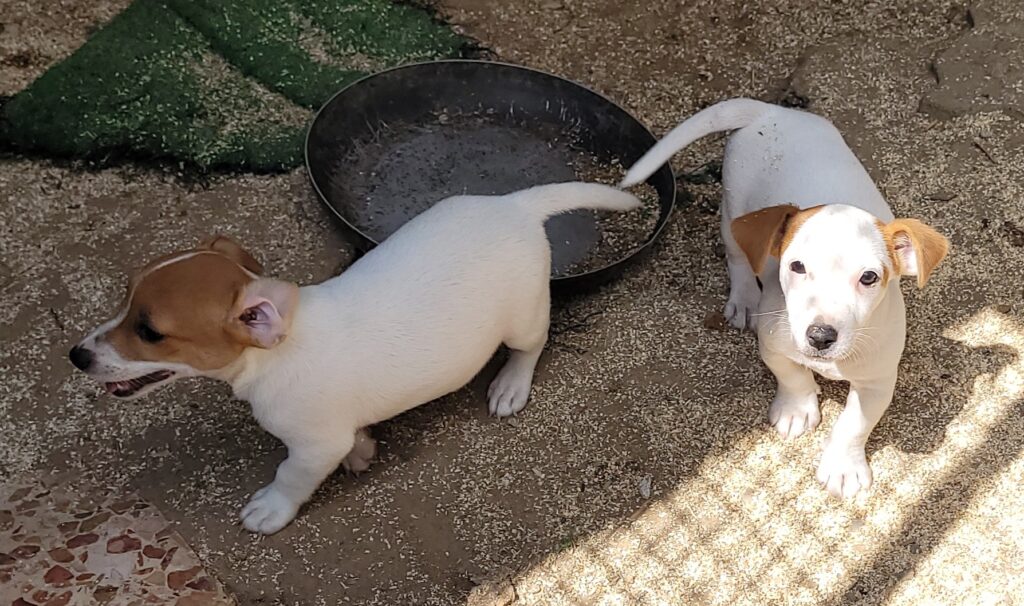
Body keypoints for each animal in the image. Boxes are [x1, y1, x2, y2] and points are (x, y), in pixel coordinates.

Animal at [68, 182, 638, 532]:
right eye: (125, 296)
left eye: (150, 332)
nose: (76, 356)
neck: (272, 356)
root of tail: (515, 205)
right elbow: (355, 437)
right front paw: (362, 451)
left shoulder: (312, 445)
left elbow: (290, 477)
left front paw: (271, 509)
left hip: (523, 316)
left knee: (532, 345)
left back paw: (511, 385)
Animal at [618, 98, 946, 497]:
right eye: (797, 266)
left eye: (869, 277)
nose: (819, 336)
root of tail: (770, 111)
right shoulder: (773, 343)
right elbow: (793, 376)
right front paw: (796, 410)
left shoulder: (879, 379)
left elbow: (854, 423)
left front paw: (843, 467)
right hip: (733, 209)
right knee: (738, 257)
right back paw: (743, 298)